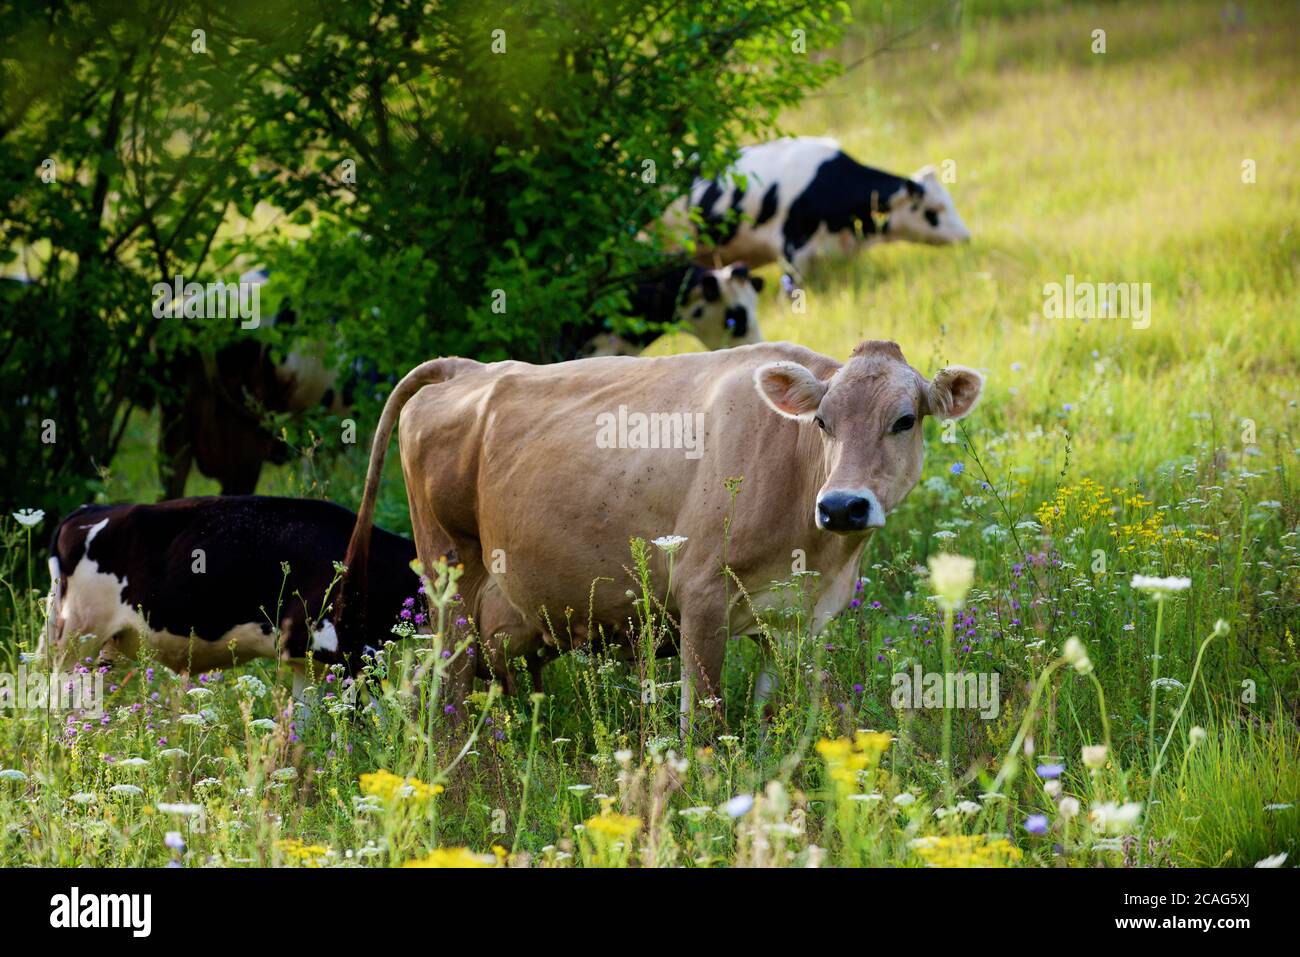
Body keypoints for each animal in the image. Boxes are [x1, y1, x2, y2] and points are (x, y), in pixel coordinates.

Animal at [336, 340, 983, 731]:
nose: (843, 505)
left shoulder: (798, 620)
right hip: (449, 582)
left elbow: (769, 714)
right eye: (822, 421)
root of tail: (465, 367)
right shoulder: (701, 597)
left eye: (905, 420)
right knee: (445, 690)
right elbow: (705, 722)